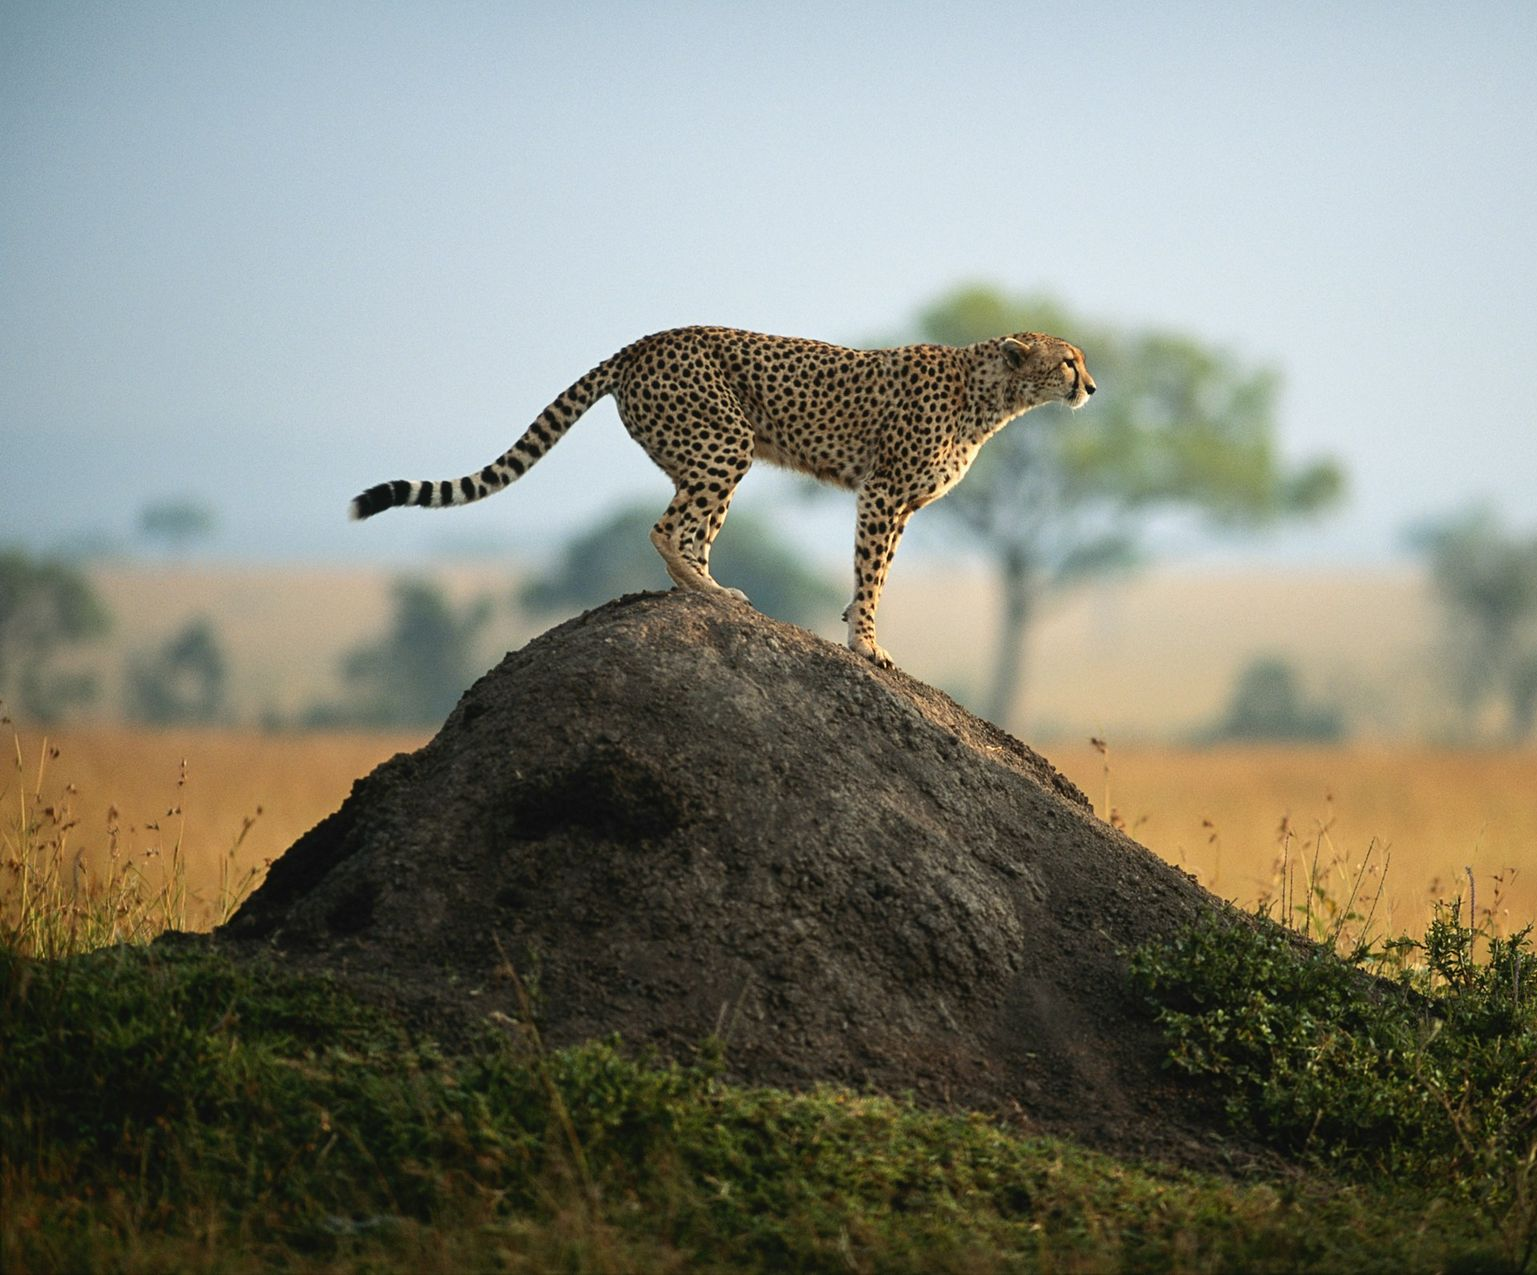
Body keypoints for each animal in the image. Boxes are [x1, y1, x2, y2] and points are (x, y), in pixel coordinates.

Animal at [350, 325, 1095, 668]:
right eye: (1068, 360)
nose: (1091, 386)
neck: (990, 395)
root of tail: (645, 340)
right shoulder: (883, 494)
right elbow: (873, 574)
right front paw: (866, 645)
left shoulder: (899, 504)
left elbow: (872, 574)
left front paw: (855, 627)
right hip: (725, 444)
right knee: (666, 528)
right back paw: (708, 592)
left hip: (711, 455)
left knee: (692, 530)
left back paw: (707, 590)